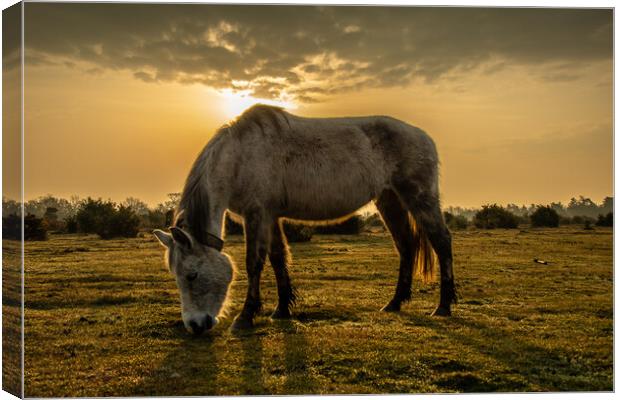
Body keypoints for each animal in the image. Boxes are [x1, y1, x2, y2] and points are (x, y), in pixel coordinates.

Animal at [155, 104, 456, 332]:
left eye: (192, 275)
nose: (195, 325)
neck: (240, 156)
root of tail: (423, 137)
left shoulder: (257, 215)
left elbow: (254, 263)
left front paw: (246, 316)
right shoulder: (270, 217)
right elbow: (278, 259)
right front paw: (282, 309)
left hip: (419, 198)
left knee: (441, 242)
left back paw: (443, 306)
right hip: (390, 200)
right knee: (406, 246)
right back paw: (395, 303)